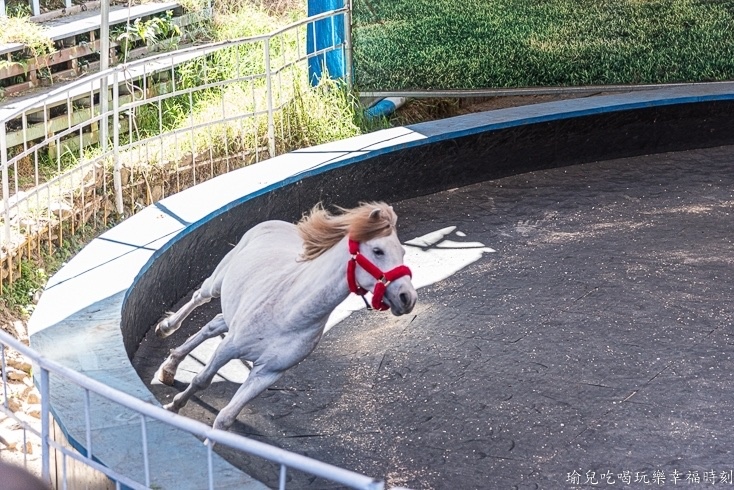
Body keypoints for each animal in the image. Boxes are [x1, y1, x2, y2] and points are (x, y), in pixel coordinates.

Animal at [155, 201, 420, 430]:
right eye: (378, 250)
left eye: (402, 252)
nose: (407, 298)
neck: (290, 314)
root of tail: (275, 223)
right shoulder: (228, 348)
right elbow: (201, 380)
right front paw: (173, 407)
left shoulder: (267, 373)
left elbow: (226, 417)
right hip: (217, 283)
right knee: (200, 297)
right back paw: (166, 328)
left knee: (213, 325)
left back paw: (170, 367)